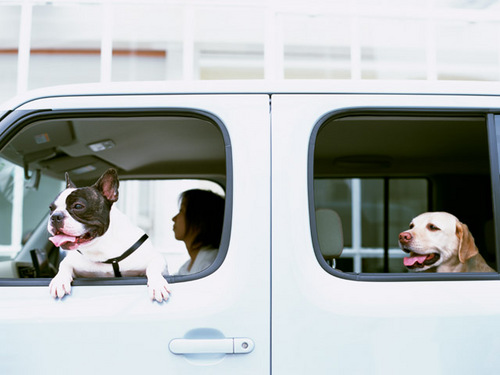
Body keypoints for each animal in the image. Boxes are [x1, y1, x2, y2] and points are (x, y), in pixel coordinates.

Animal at [47, 170, 171, 302]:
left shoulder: (156, 258)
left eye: (78, 206)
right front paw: (59, 281)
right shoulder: (71, 263)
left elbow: (153, 267)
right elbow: (63, 266)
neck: (101, 246)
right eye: (51, 208)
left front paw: (157, 285)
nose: (55, 216)